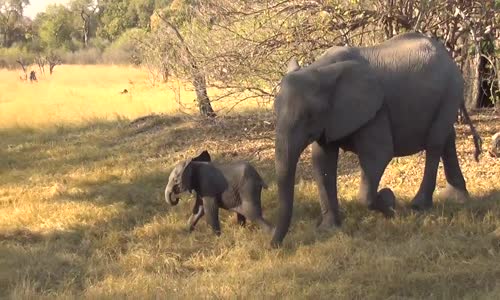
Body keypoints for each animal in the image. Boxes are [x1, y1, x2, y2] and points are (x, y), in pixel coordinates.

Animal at [272, 33, 482, 248]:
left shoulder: (376, 111)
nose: (275, 246)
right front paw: (328, 230)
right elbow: (322, 162)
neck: (319, 69)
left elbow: (379, 154)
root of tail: (448, 57)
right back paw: (455, 198)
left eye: (308, 116)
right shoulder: (331, 119)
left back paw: (419, 206)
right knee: (447, 138)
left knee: (435, 144)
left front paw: (389, 203)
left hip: (450, 91)